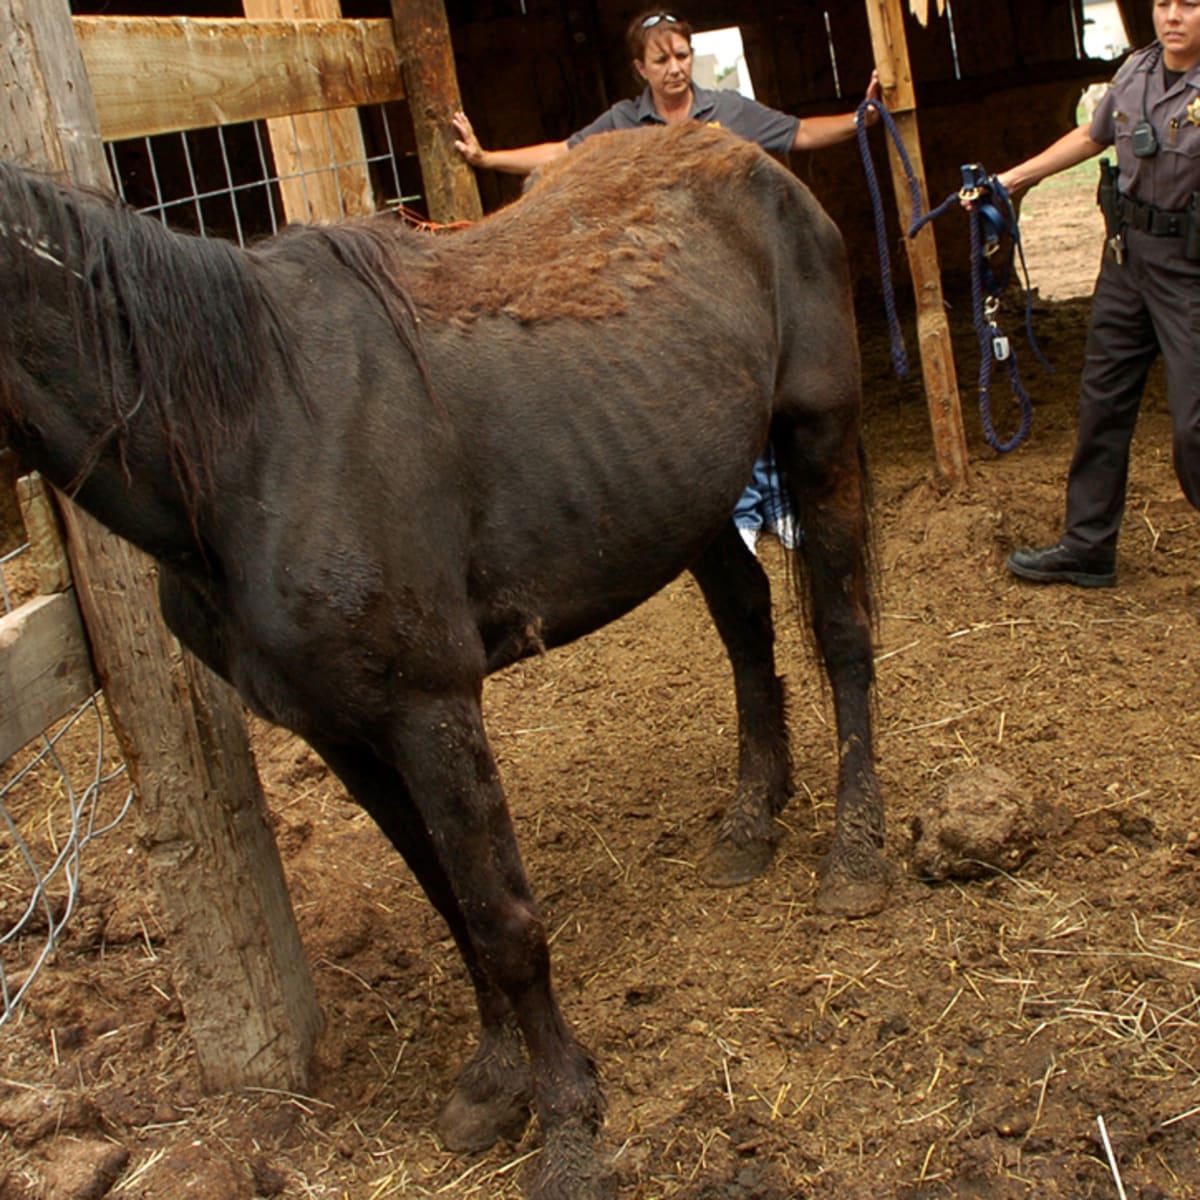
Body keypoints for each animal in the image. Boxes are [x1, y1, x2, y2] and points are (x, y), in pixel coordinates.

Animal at [0, 126, 883, 1200]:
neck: (249, 435)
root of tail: (738, 149)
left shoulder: (429, 710)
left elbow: (503, 920)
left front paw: (570, 1129)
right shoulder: (342, 733)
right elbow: (449, 902)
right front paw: (497, 1082)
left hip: (817, 434)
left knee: (842, 634)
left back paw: (856, 856)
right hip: (678, 488)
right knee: (746, 619)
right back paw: (752, 817)